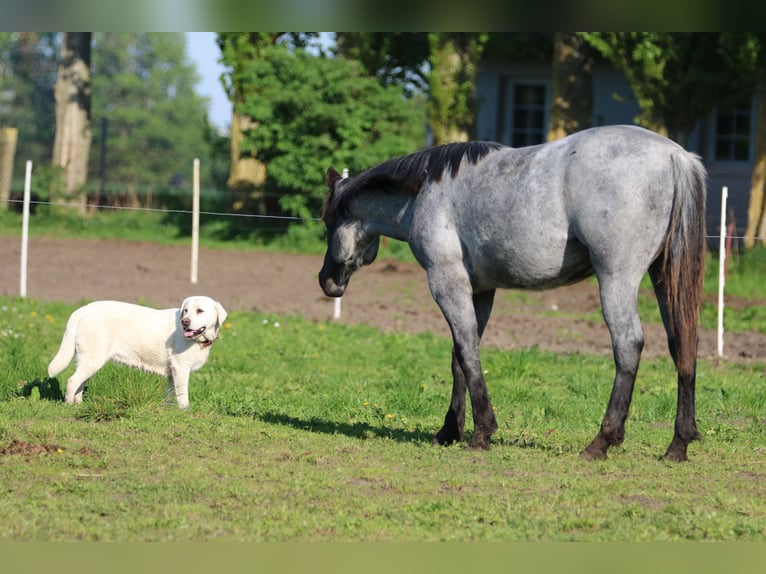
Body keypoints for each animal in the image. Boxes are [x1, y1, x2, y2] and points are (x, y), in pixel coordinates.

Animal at [47, 296, 226, 410]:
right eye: (186, 311)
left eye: (200, 310)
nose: (185, 322)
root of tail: (84, 309)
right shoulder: (180, 368)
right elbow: (182, 395)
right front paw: (185, 411)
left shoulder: (172, 372)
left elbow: (169, 394)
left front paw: (167, 410)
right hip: (93, 360)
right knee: (72, 381)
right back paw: (69, 406)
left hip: (88, 361)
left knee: (80, 384)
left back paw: (79, 405)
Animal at [318, 126, 708, 464]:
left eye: (328, 222)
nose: (326, 281)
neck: (426, 191)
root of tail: (674, 155)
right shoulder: (480, 290)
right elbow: (460, 356)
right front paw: (450, 431)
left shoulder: (446, 283)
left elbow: (467, 351)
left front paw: (480, 433)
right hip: (664, 278)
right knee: (683, 346)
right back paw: (678, 445)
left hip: (617, 279)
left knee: (628, 345)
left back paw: (602, 441)